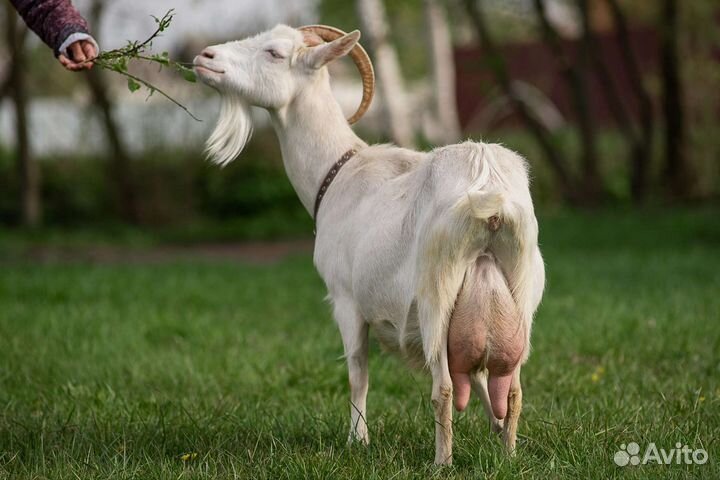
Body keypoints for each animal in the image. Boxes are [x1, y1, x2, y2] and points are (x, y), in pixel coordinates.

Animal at [194, 24, 545, 465]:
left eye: (274, 52)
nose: (204, 57)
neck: (338, 170)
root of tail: (489, 192)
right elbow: (483, 383)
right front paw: (497, 434)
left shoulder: (345, 299)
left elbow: (357, 372)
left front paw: (357, 440)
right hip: (519, 296)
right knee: (512, 387)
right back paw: (509, 455)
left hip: (435, 298)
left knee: (444, 388)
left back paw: (441, 462)